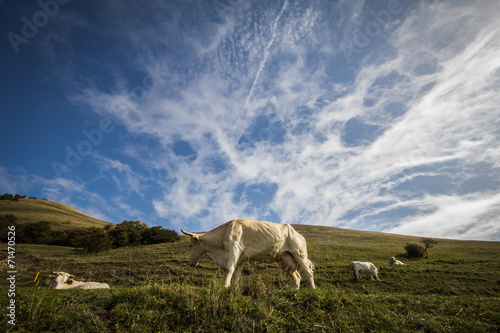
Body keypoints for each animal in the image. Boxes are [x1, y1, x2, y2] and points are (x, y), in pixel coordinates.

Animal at [182, 218, 316, 288]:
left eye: (190, 245)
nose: (189, 263)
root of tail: (298, 234)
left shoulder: (235, 248)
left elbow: (230, 269)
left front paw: (225, 285)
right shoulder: (240, 258)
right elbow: (237, 275)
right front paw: (234, 289)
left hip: (299, 253)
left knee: (308, 273)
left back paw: (313, 290)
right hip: (286, 258)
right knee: (297, 277)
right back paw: (294, 292)